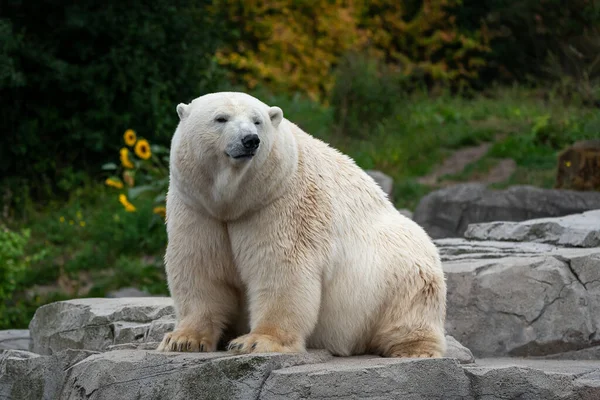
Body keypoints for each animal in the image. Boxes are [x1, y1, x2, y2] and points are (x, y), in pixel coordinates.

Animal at [157, 92, 448, 358]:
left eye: (257, 120)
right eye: (221, 118)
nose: (250, 140)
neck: (236, 202)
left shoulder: (280, 203)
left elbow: (281, 268)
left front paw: (255, 341)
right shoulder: (197, 208)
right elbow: (200, 267)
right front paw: (182, 340)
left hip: (398, 269)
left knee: (411, 301)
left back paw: (413, 350)